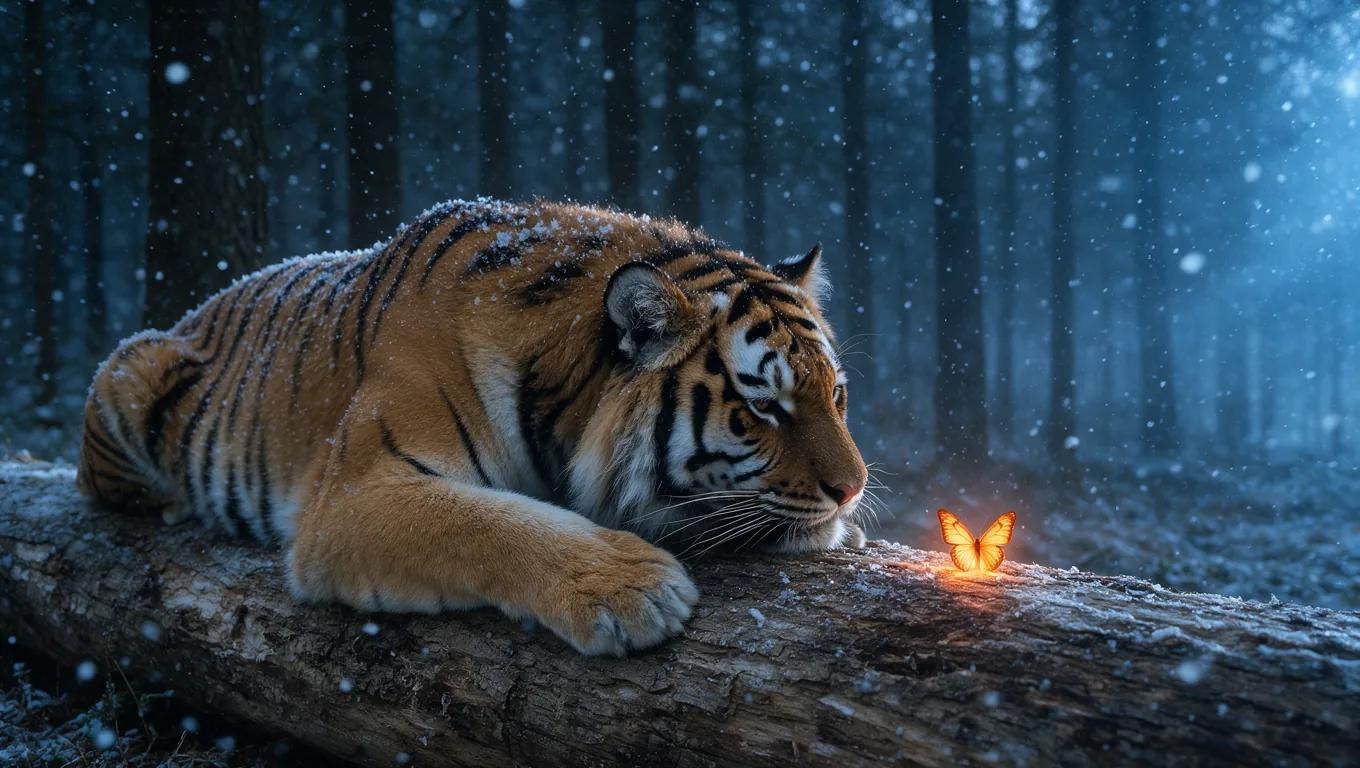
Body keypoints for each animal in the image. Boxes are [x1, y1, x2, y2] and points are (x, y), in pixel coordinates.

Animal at [76, 198, 869, 656]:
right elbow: (489, 521)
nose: (853, 491)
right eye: (763, 407)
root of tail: (194, 311)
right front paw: (633, 588)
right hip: (128, 370)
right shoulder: (357, 489)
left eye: (837, 396)